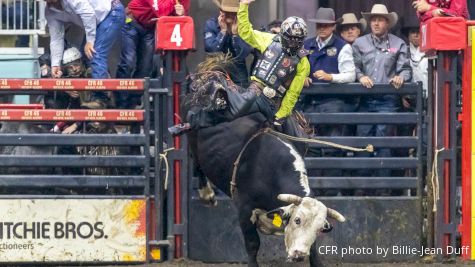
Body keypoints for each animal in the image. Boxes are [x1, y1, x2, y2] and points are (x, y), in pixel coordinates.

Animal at [181, 55, 346, 267]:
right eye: (297, 220)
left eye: (319, 228)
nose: (299, 254)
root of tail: (208, 77)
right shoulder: (244, 209)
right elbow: (252, 245)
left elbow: (315, 251)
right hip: (193, 138)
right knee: (196, 161)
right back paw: (206, 194)